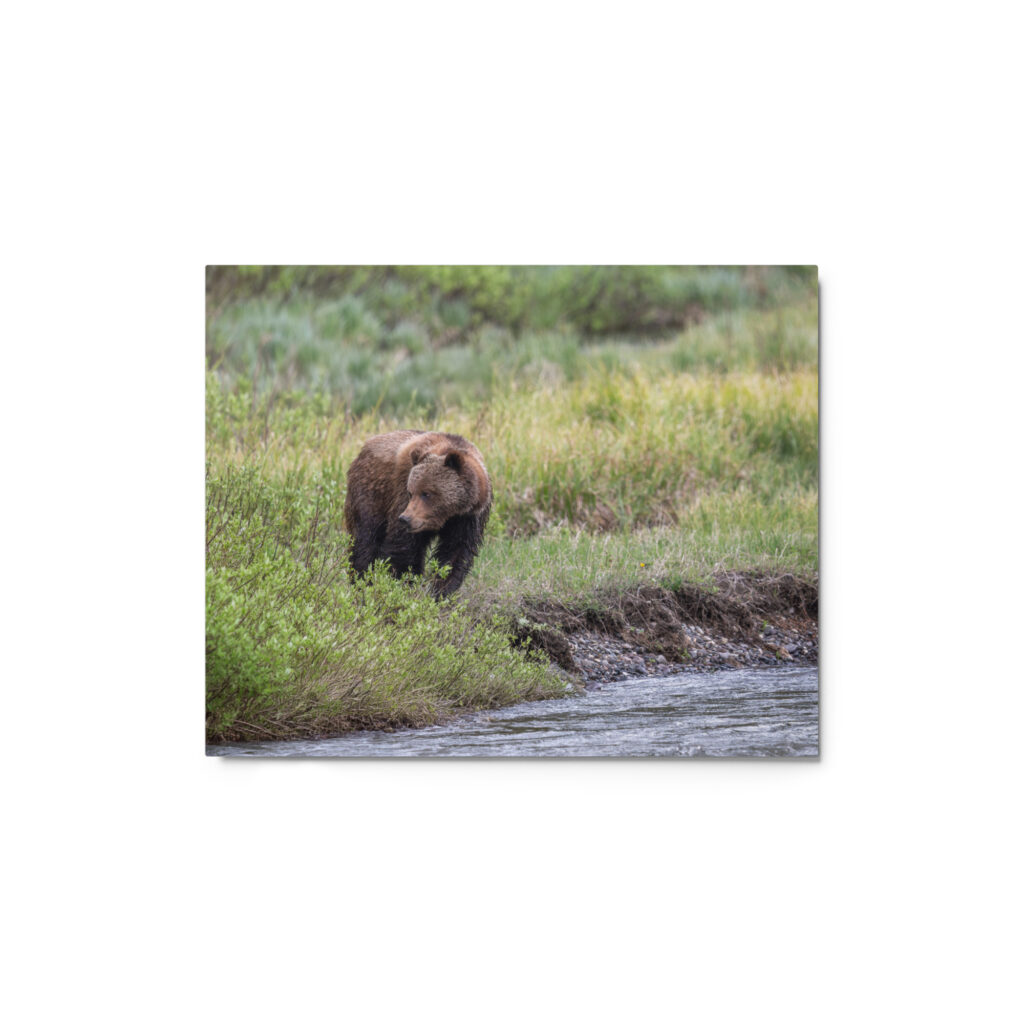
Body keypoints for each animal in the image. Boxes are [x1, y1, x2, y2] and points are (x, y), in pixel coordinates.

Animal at [343, 430, 492, 597]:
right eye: (411, 492)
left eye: (426, 493)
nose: (406, 519)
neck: (448, 515)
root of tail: (363, 448)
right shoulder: (401, 495)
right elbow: (403, 548)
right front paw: (401, 584)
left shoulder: (468, 518)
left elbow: (455, 554)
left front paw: (441, 592)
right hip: (371, 494)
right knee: (365, 540)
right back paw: (361, 582)